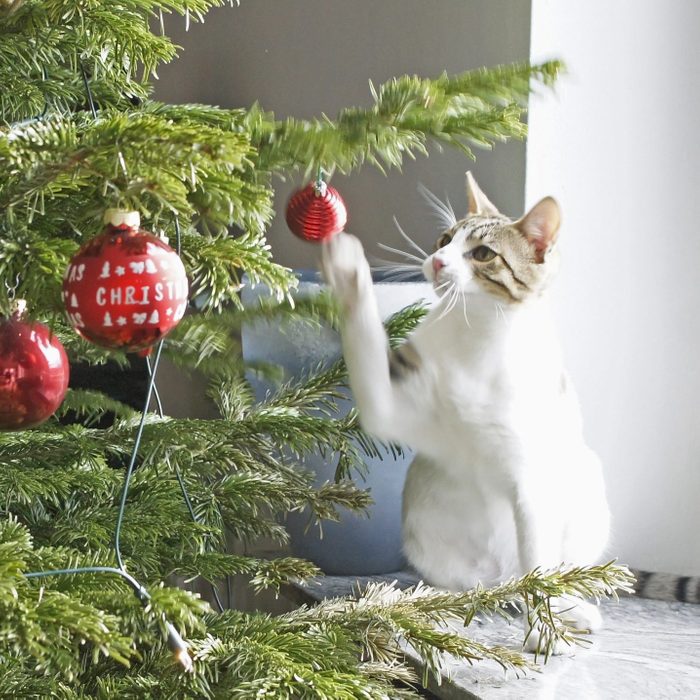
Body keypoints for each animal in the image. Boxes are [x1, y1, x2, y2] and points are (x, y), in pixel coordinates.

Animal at [322, 172, 612, 652]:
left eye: (481, 254)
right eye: (445, 240)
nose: (437, 262)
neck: (476, 335)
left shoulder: (531, 481)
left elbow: (539, 568)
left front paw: (542, 631)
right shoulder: (387, 406)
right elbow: (363, 338)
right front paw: (347, 269)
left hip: (586, 486)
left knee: (542, 573)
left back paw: (569, 610)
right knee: (468, 588)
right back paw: (423, 600)